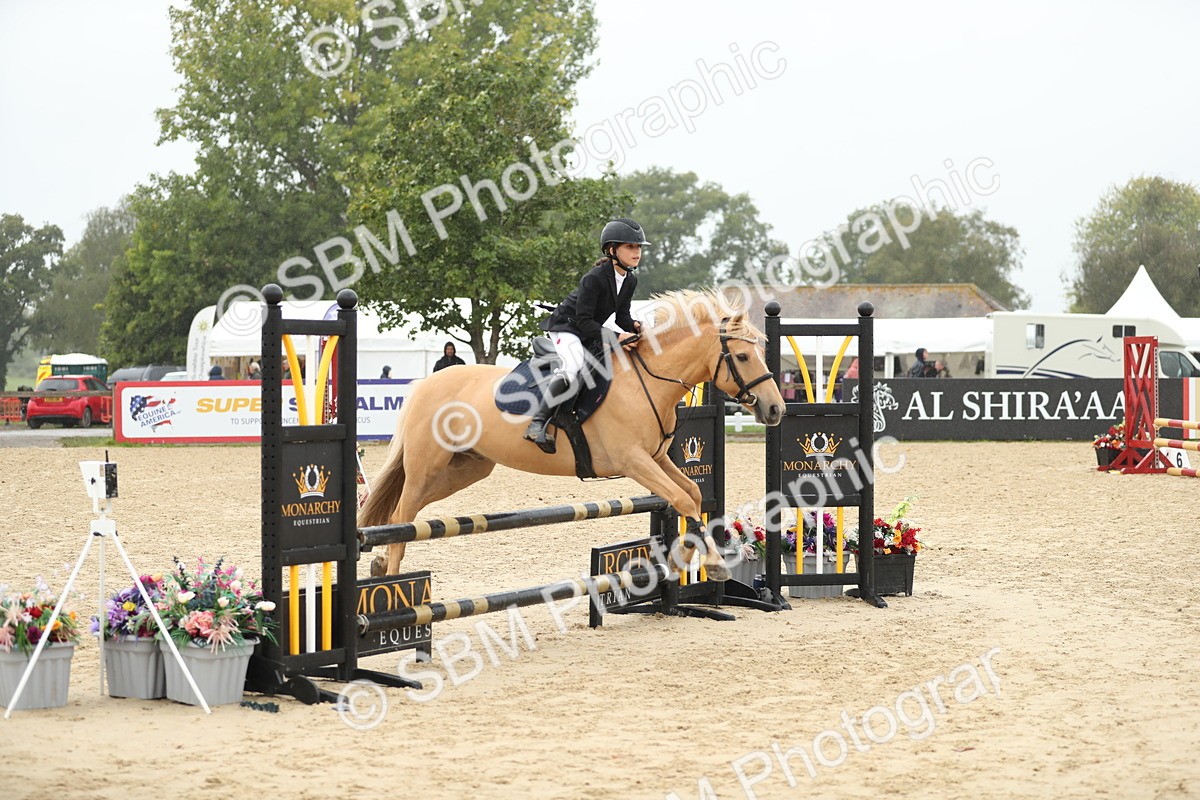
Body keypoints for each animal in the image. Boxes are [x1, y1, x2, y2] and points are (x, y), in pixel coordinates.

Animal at [358, 289, 785, 578]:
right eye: (743, 357)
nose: (776, 409)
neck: (646, 381)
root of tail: (426, 385)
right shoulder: (633, 461)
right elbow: (681, 499)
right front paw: (713, 564)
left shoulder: (657, 457)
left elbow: (693, 495)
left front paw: (682, 559)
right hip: (427, 465)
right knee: (404, 514)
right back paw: (392, 579)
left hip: (465, 468)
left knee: (404, 513)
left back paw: (379, 563)